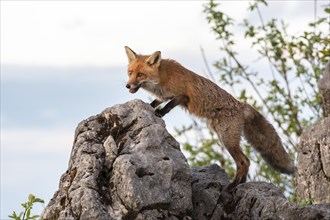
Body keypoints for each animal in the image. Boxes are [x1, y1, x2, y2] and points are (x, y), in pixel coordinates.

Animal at [125, 46, 296, 189]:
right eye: (130, 72)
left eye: (140, 74)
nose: (127, 86)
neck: (161, 78)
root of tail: (241, 105)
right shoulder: (163, 95)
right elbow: (156, 102)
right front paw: (149, 106)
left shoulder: (182, 96)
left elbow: (168, 106)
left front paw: (160, 113)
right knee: (245, 161)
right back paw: (241, 183)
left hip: (228, 140)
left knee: (244, 161)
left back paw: (234, 185)